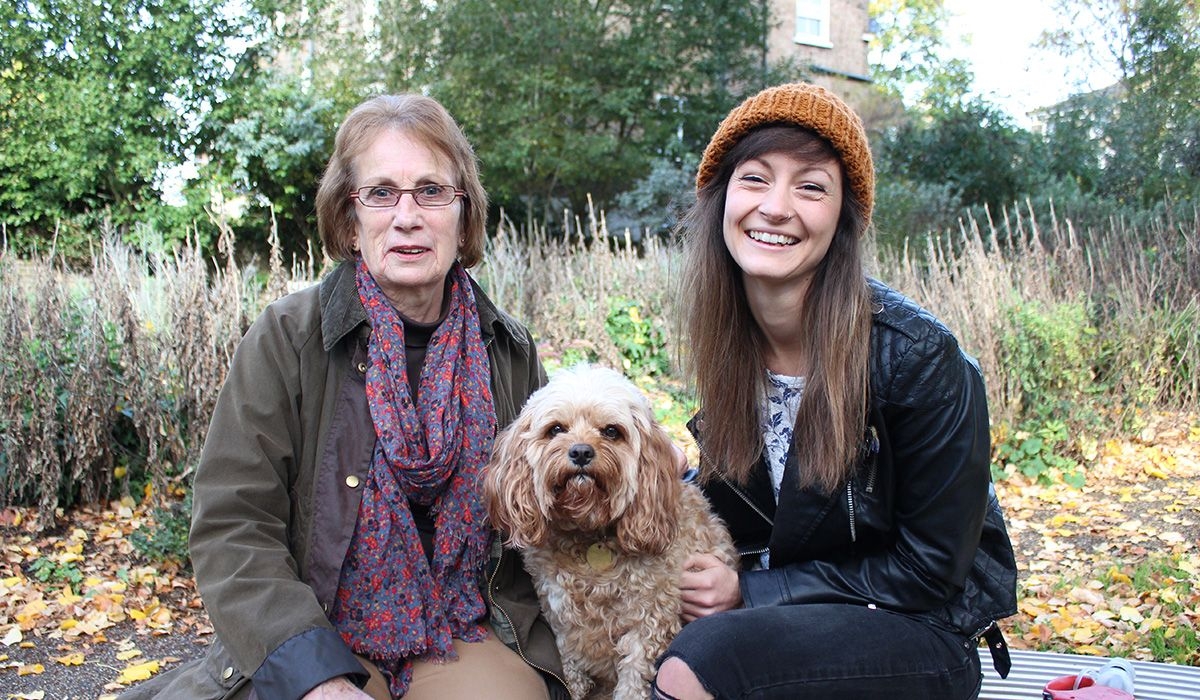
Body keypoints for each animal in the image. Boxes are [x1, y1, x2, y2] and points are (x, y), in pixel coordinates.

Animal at [482, 367, 734, 700]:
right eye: (556, 429)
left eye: (612, 431)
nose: (580, 451)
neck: (589, 531)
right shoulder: (560, 617)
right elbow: (569, 662)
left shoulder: (648, 622)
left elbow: (633, 678)